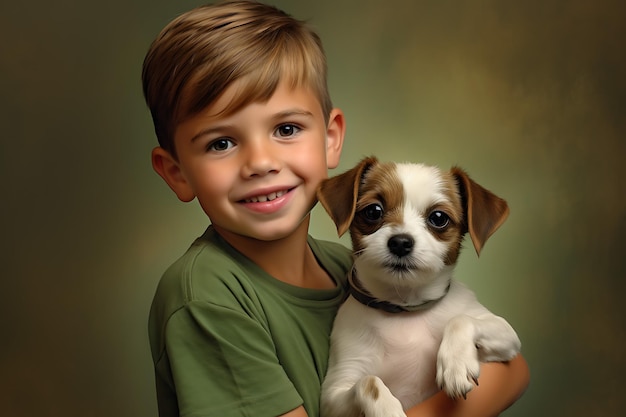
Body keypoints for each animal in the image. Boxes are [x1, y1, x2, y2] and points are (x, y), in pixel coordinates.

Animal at [316, 156, 516, 416]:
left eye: (439, 218)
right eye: (373, 211)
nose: (401, 242)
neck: (404, 306)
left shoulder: (506, 334)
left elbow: (461, 319)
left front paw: (456, 364)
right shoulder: (334, 393)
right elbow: (369, 382)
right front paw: (388, 411)